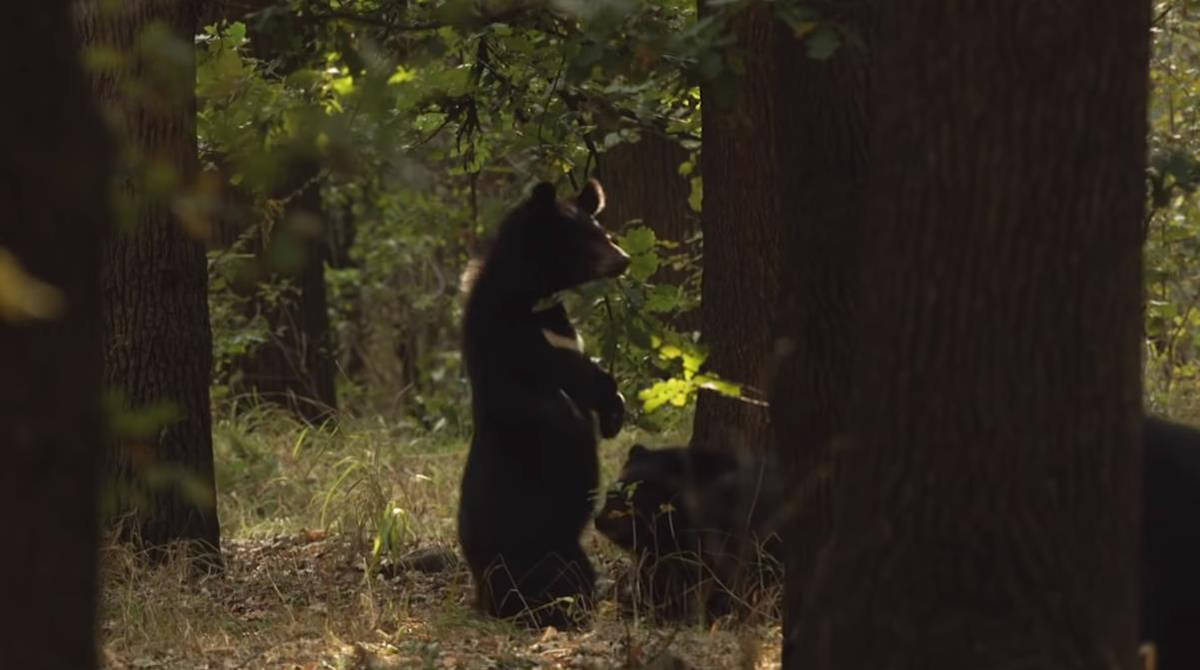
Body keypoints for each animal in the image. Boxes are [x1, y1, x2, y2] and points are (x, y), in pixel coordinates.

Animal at [457, 179, 630, 629]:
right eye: (587, 238)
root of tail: (482, 592)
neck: (534, 297)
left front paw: (612, 419)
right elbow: (579, 377)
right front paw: (613, 406)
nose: (623, 259)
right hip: (540, 550)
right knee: (556, 581)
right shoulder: (518, 340)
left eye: (602, 231)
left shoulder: (561, 331)